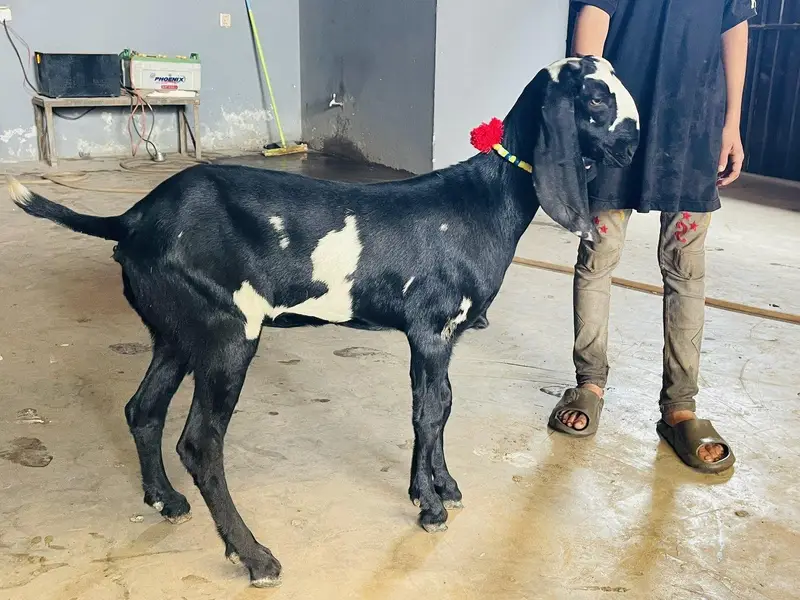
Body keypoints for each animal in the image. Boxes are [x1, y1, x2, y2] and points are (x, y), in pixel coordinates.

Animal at [8, 56, 639, 587]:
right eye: (595, 97)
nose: (634, 145)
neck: (482, 201)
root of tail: (133, 219)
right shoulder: (431, 328)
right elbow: (429, 411)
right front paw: (430, 506)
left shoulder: (442, 337)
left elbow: (439, 408)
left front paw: (440, 486)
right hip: (227, 332)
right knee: (200, 443)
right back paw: (255, 556)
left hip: (176, 331)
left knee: (143, 410)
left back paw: (166, 501)